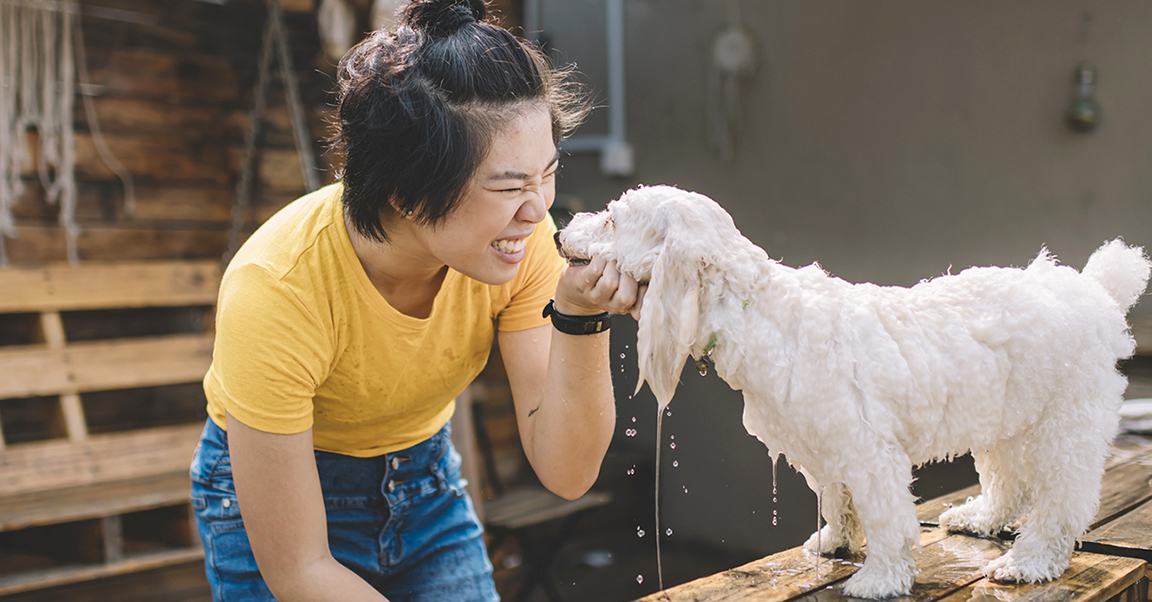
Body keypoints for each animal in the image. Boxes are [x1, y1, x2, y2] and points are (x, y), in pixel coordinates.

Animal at [557, 186, 1152, 598]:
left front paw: (880, 579)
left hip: (1065, 426)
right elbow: (838, 500)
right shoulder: (825, 448)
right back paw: (980, 519)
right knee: (1010, 484)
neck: (757, 309)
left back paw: (1028, 562)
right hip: (1002, 417)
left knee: (1060, 503)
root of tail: (1093, 288)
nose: (561, 232)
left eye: (611, 219)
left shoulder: (870, 452)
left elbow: (887, 518)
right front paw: (836, 542)